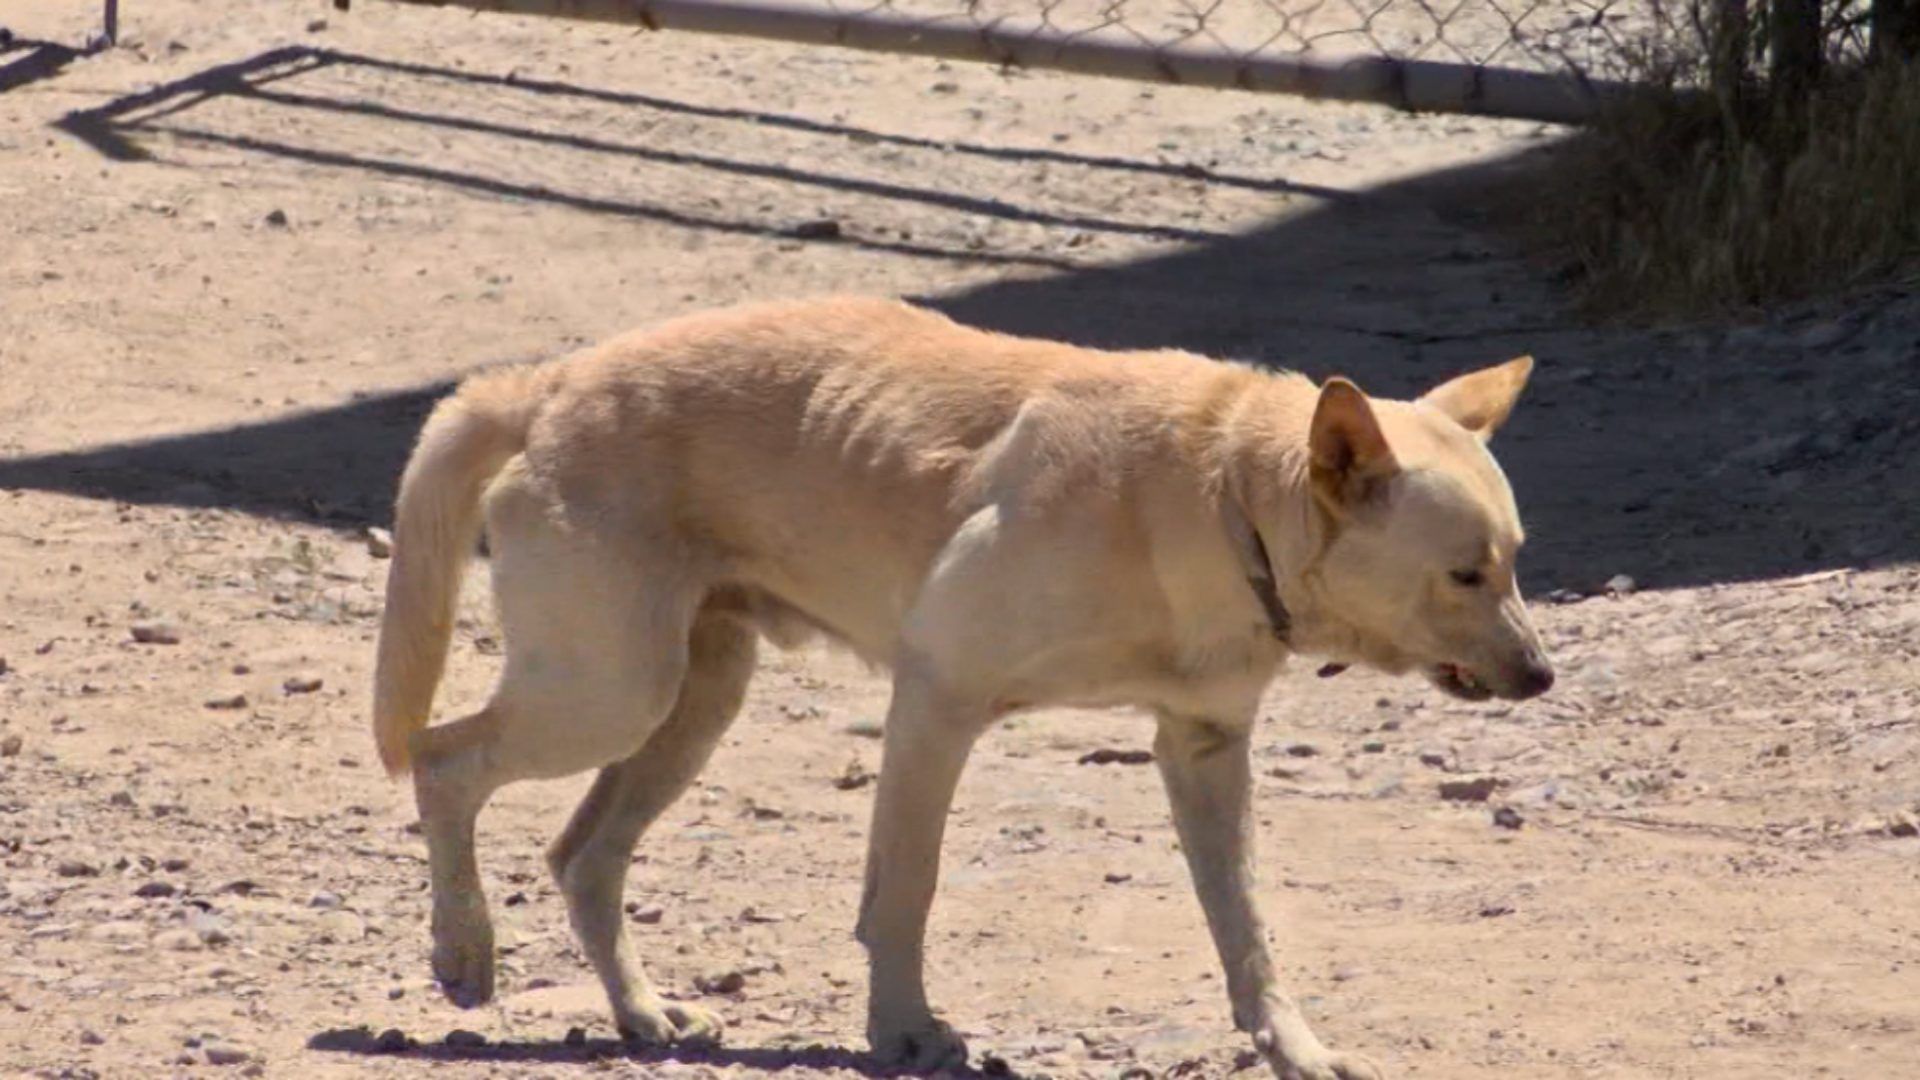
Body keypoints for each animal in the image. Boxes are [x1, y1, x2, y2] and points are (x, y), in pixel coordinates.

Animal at [374, 295, 1559, 1076]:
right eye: (1464, 573)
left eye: (1516, 561)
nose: (1543, 676)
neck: (1218, 491)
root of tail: (547, 385)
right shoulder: (936, 700)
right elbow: (906, 890)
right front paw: (904, 1031)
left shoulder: (1205, 751)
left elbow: (1249, 928)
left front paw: (1295, 1047)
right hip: (608, 692)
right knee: (442, 760)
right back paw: (463, 949)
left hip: (690, 700)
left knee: (581, 855)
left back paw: (641, 1015)